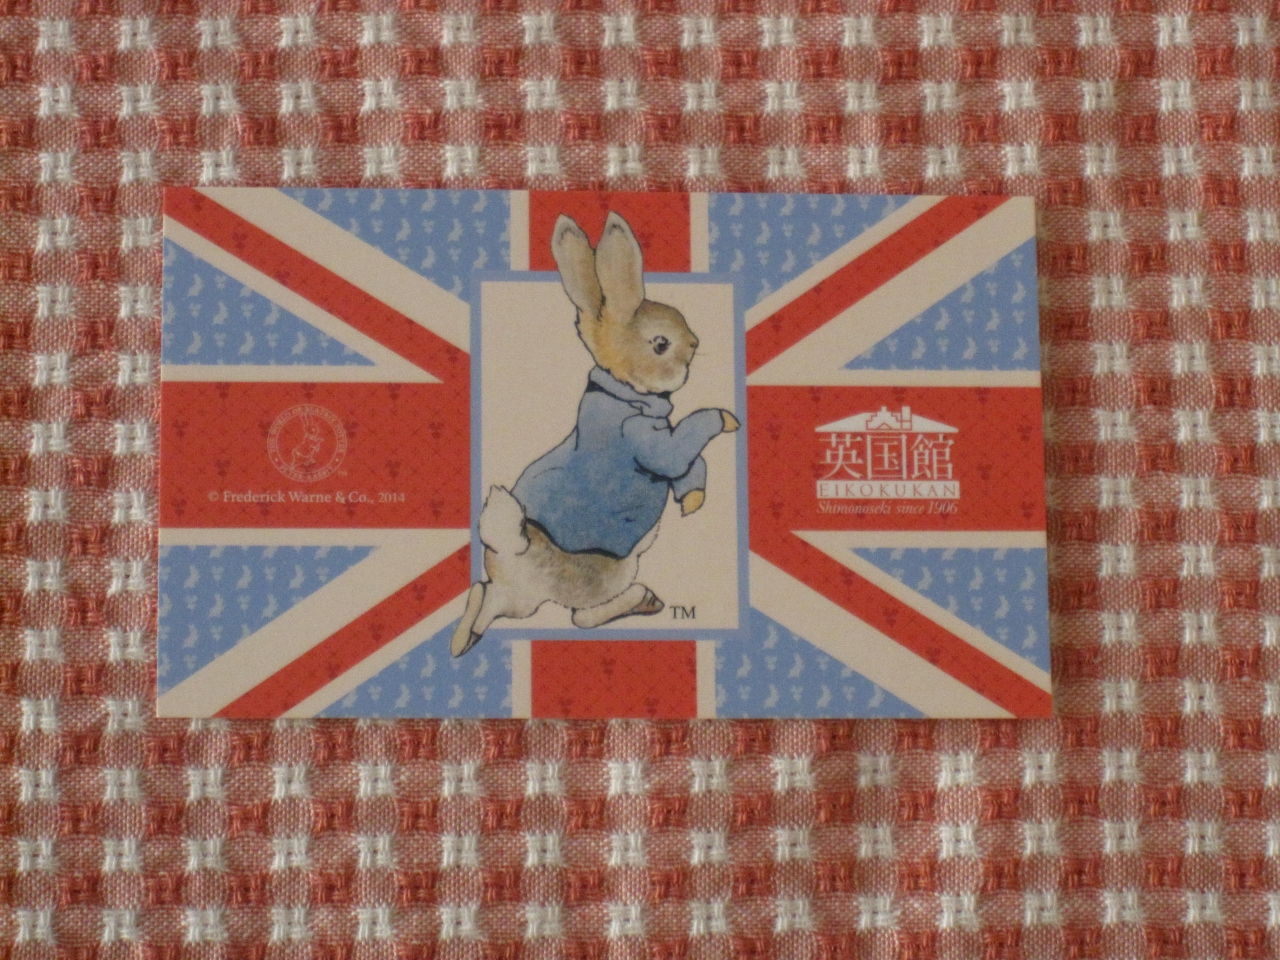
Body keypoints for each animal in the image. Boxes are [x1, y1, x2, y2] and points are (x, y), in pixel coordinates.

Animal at [450, 211, 739, 657]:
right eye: (660, 343)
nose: (694, 344)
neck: (622, 390)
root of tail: (516, 555)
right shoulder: (649, 440)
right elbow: (683, 447)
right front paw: (725, 419)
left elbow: (691, 466)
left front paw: (692, 500)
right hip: (606, 574)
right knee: (581, 618)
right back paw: (644, 599)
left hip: (513, 601)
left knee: (483, 596)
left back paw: (462, 639)